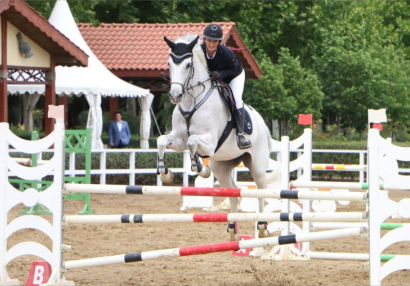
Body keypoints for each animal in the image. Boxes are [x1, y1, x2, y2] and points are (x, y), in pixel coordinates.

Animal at [159, 34, 274, 241]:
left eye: (188, 64)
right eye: (169, 63)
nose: (175, 95)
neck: (191, 102)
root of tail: (263, 123)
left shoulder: (210, 143)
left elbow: (193, 142)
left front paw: (200, 169)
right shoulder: (178, 140)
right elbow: (162, 141)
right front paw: (166, 174)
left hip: (258, 167)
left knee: (261, 191)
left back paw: (262, 227)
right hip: (222, 167)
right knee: (234, 193)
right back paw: (232, 230)